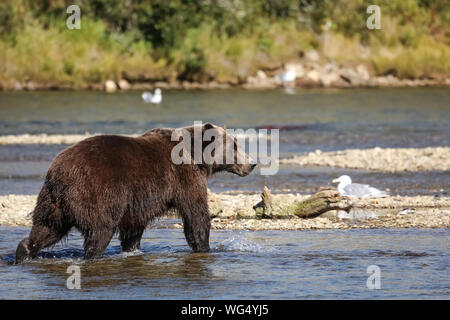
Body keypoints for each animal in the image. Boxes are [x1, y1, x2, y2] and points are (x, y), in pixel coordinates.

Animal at [15, 122, 255, 262]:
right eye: (235, 145)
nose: (251, 163)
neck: (197, 155)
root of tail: (59, 174)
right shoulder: (183, 176)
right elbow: (195, 214)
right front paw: (205, 247)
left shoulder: (137, 200)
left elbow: (133, 227)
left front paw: (132, 248)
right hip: (95, 192)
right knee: (100, 230)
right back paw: (93, 256)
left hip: (52, 202)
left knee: (46, 228)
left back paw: (23, 251)